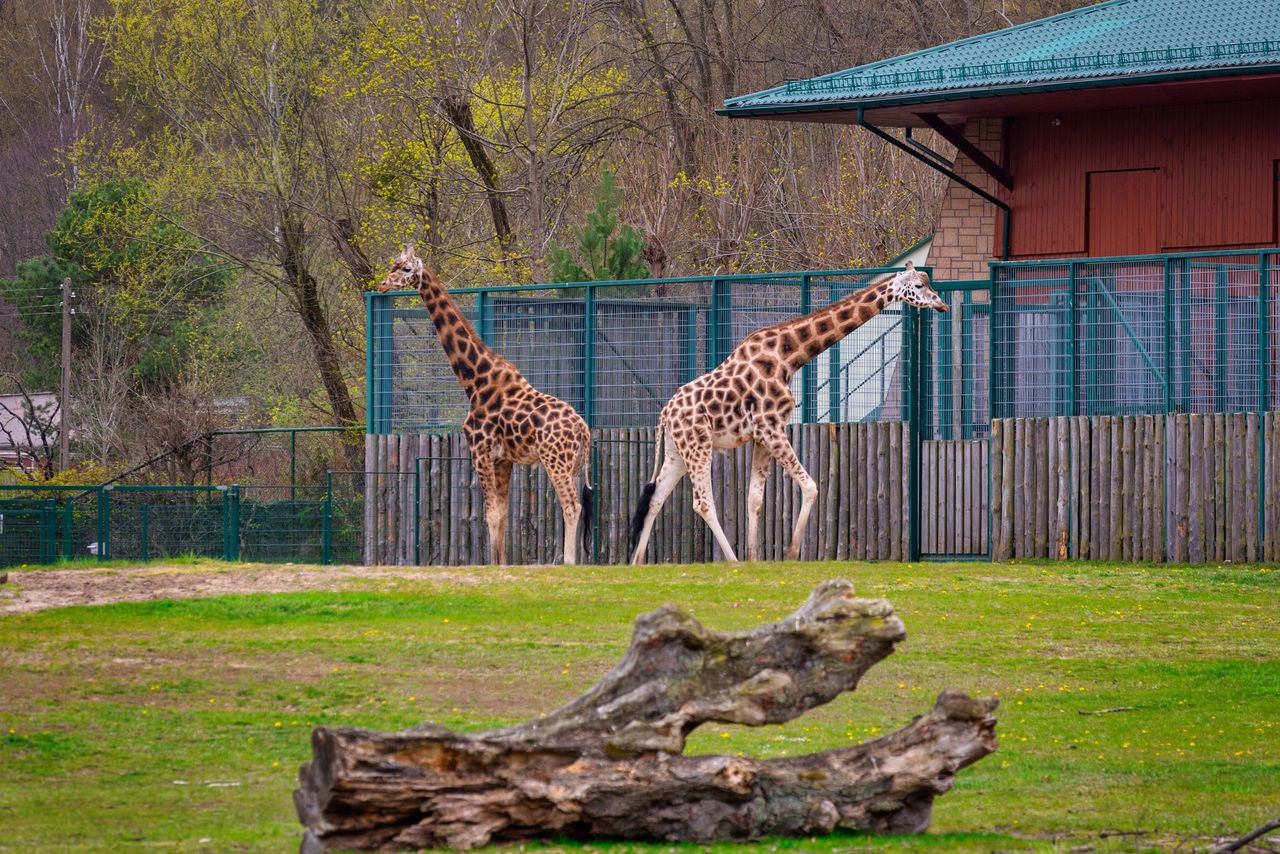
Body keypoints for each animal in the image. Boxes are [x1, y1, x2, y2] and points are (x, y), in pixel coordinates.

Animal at [373, 245, 593, 568]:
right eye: (393, 264)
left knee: (571, 507)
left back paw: (568, 564)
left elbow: (490, 514)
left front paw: (492, 566)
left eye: (405, 269)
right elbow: (502, 515)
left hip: (556, 461)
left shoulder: (480, 450)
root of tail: (584, 430)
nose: (382, 285)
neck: (475, 381)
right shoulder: (503, 459)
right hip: (574, 464)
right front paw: (501, 565)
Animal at [629, 263, 952, 563]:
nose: (942, 304)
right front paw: (791, 552)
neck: (789, 356)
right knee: (703, 503)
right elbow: (810, 486)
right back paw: (730, 560)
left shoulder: (761, 436)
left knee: (655, 498)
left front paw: (755, 558)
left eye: (928, 284)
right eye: (919, 285)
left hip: (677, 452)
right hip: (698, 446)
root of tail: (664, 415)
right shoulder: (771, 427)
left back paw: (637, 563)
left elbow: (755, 500)